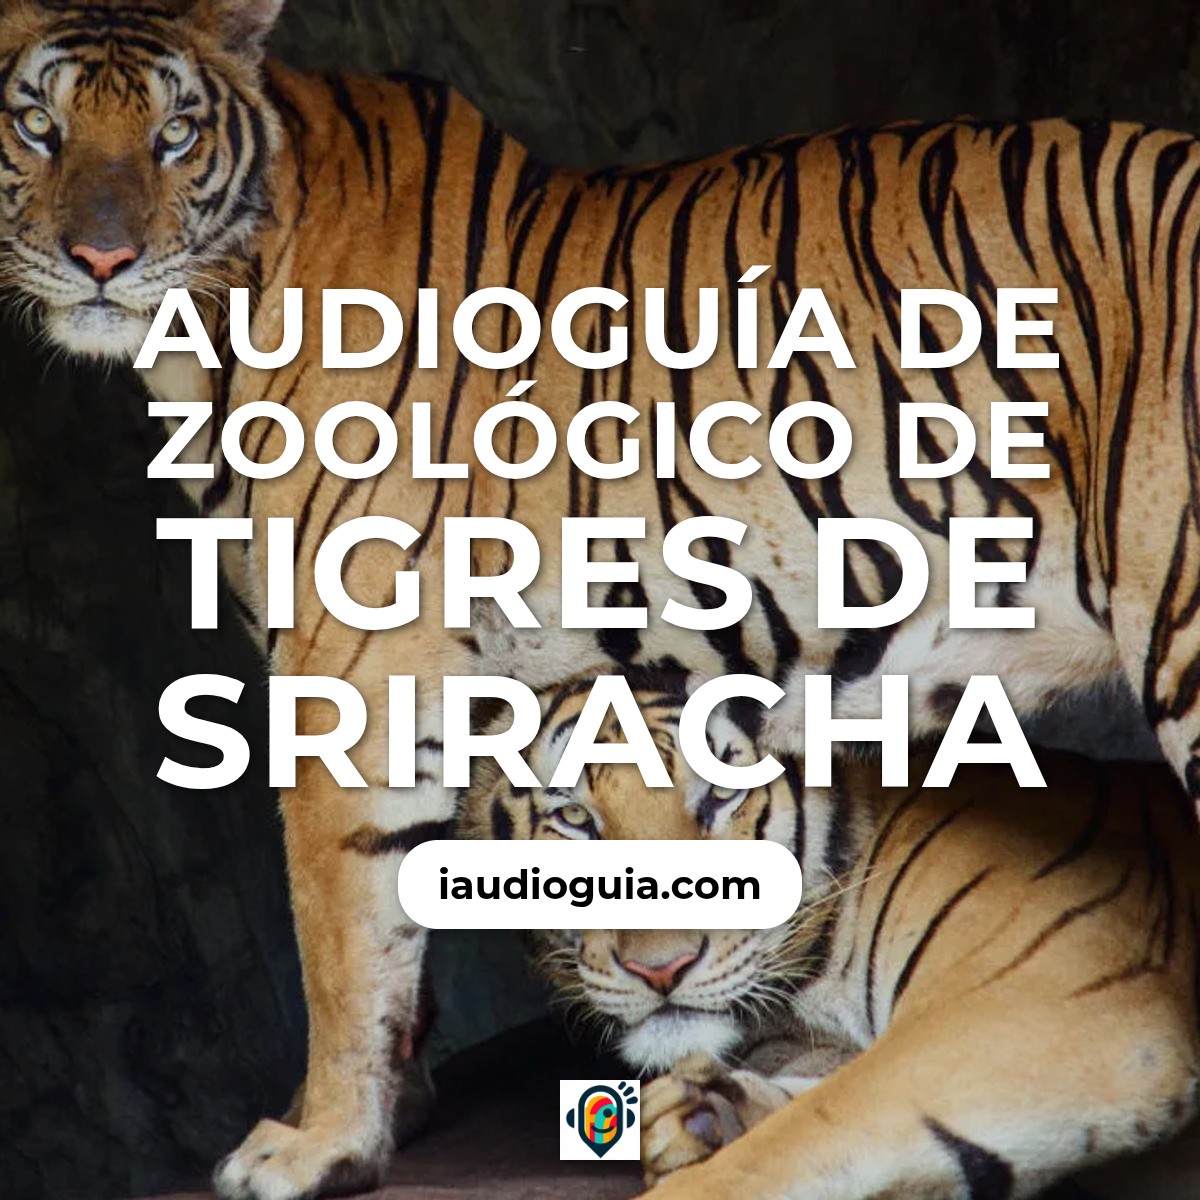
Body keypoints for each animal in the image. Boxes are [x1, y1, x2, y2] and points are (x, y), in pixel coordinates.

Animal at [462, 670, 1200, 1199]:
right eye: (574, 819)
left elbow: (795, 1139)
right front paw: (706, 1111)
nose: (661, 969)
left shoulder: (1039, 1007)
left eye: (721, 796)